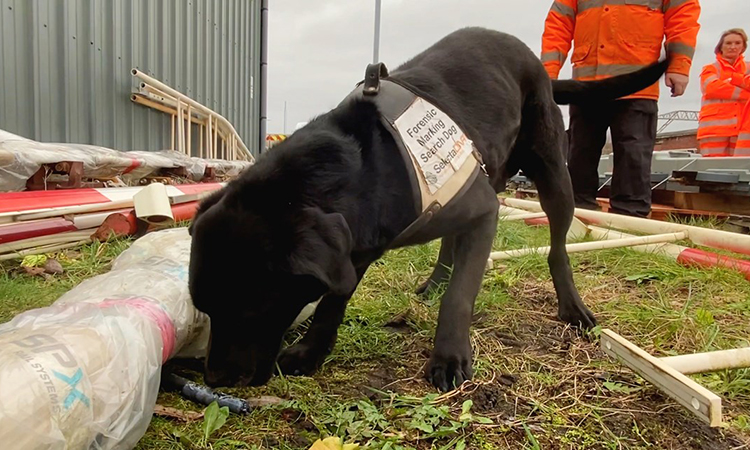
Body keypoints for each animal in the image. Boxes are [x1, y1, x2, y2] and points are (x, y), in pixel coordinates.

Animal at [188, 26, 668, 390]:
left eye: (250, 309)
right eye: (206, 309)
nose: (213, 379)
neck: (370, 164)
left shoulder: (484, 212)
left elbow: (460, 297)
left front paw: (449, 357)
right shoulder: (352, 249)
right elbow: (332, 301)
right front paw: (311, 350)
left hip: (552, 173)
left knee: (557, 247)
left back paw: (571, 306)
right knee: (450, 244)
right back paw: (435, 280)